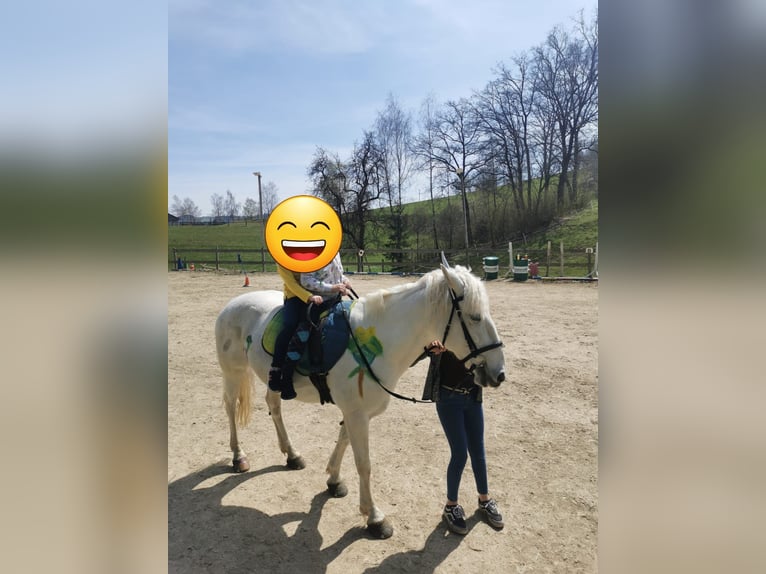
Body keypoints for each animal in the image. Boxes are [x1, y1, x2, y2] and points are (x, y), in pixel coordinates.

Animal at [213, 260, 508, 540]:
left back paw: (292, 455)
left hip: (270, 380)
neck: (379, 343)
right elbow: (364, 464)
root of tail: (231, 305)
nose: (499, 373)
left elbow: (343, 441)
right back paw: (238, 457)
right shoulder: (357, 414)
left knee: (273, 406)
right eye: (475, 317)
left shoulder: (356, 412)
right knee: (230, 408)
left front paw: (333, 481)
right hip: (233, 371)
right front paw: (374, 518)